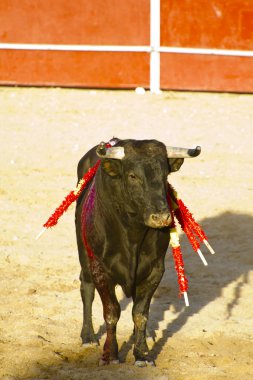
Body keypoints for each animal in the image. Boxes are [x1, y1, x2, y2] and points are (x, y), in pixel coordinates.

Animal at [74, 138, 201, 366]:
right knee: (86, 288)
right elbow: (111, 311)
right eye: (133, 176)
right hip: (85, 257)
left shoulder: (154, 270)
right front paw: (110, 354)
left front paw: (142, 354)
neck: (132, 234)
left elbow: (140, 313)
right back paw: (88, 336)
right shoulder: (100, 269)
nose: (161, 217)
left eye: (165, 175)